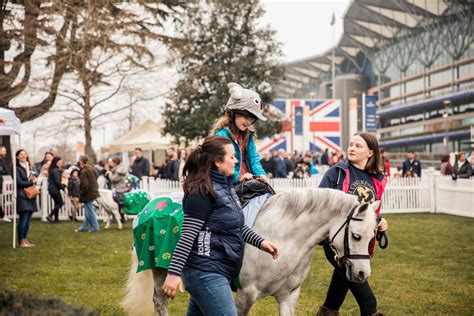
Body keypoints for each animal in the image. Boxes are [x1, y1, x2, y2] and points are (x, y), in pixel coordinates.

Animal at [121, 189, 378, 314]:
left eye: (372, 236)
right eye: (356, 236)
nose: (363, 274)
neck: (284, 238)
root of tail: (149, 206)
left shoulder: (288, 296)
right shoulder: (246, 294)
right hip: (159, 270)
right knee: (160, 301)